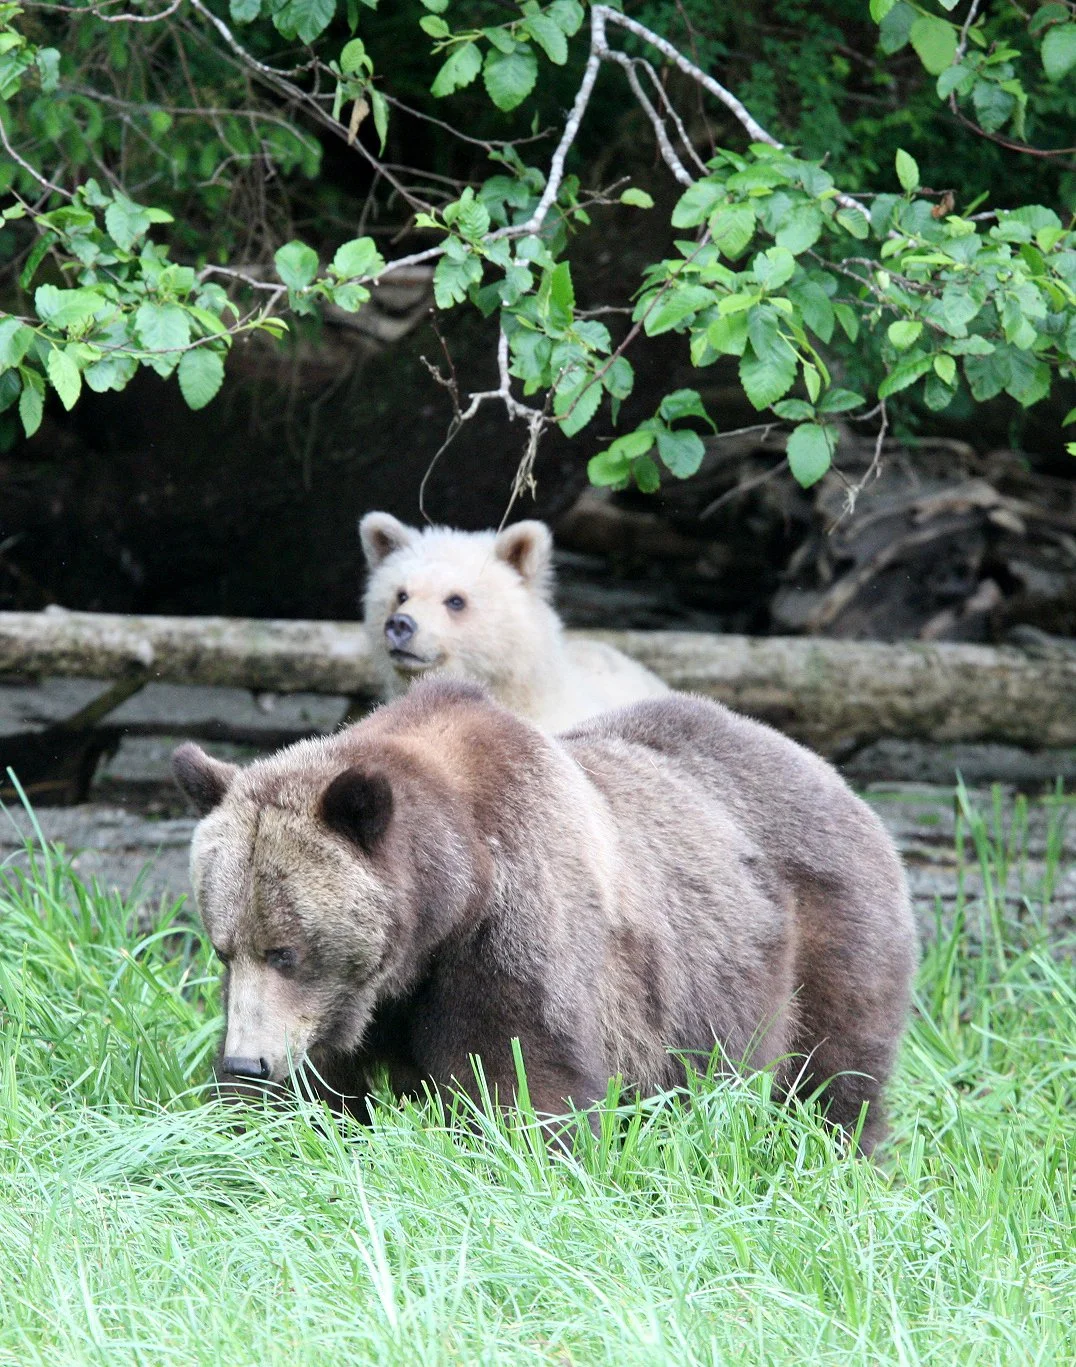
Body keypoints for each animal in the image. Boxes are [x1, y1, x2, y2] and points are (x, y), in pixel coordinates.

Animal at [173, 677, 916, 1154]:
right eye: (224, 947)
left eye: (287, 950)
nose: (247, 1061)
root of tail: (830, 774)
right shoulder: (346, 1003)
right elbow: (312, 1088)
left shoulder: (514, 928)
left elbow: (523, 1076)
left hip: (820, 938)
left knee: (833, 1079)